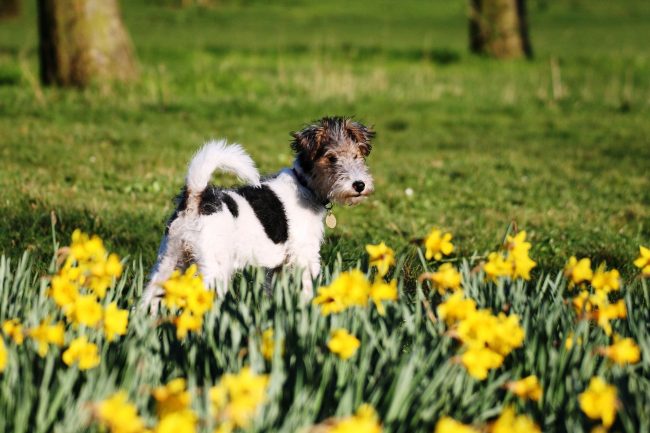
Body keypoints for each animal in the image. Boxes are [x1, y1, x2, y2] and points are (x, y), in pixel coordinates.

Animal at [142, 115, 374, 310]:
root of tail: (195, 198)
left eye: (357, 156)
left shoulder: (278, 266)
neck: (305, 185)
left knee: (146, 301)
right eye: (331, 157)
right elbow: (309, 290)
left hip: (169, 261)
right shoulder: (305, 256)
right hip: (212, 269)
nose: (359, 185)